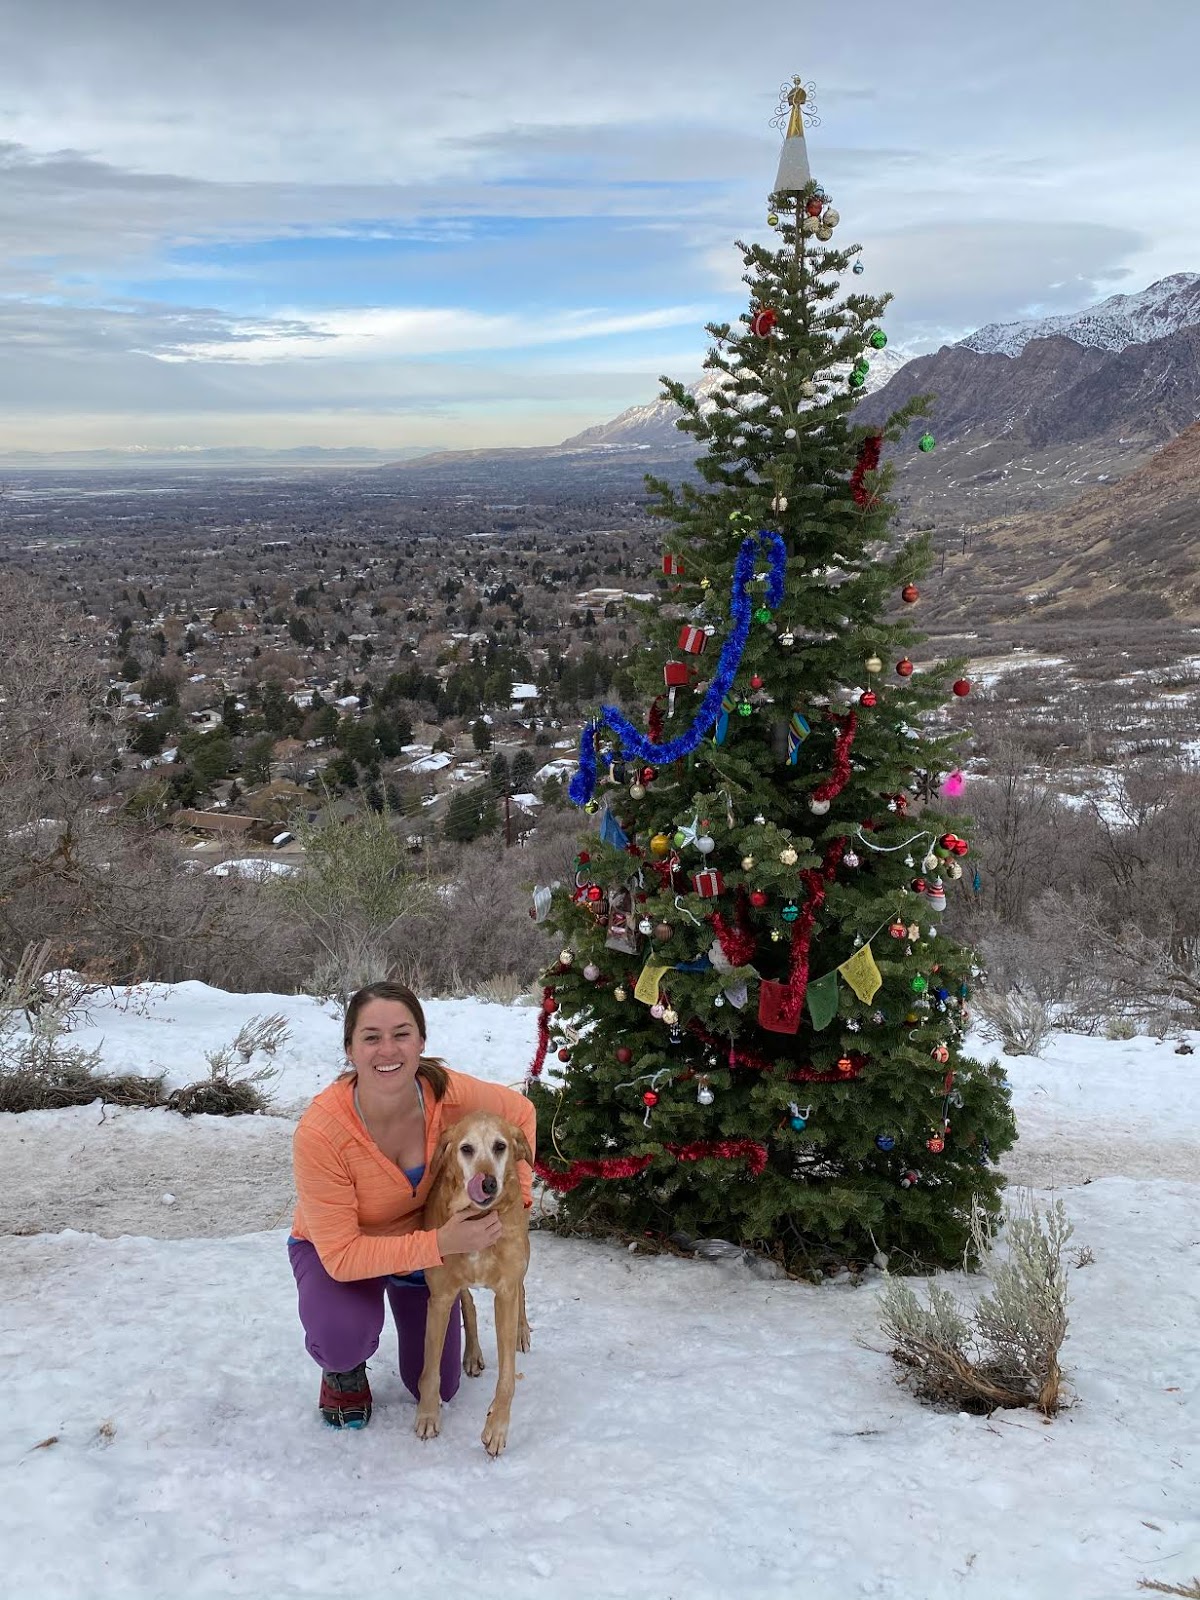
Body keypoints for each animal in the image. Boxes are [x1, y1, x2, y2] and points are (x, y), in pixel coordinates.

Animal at [422, 1120, 534, 1459]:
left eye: (500, 1146)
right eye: (466, 1149)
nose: (487, 1184)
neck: (477, 1216)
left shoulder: (505, 1295)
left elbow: (507, 1378)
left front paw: (496, 1429)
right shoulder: (440, 1298)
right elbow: (430, 1369)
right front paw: (427, 1415)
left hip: (524, 1252)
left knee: (523, 1289)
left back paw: (523, 1331)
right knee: (468, 1301)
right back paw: (471, 1353)